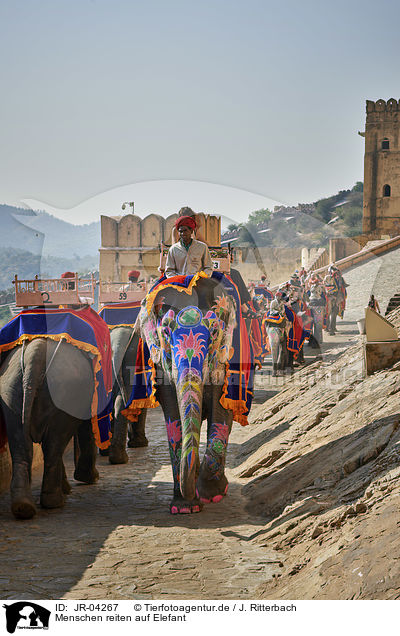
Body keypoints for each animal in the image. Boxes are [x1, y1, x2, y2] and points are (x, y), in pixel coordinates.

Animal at [134, 272, 253, 512]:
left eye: (214, 332)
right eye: (165, 334)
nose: (192, 495)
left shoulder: (226, 356)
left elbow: (221, 407)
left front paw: (210, 495)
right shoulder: (160, 365)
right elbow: (173, 415)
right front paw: (183, 507)